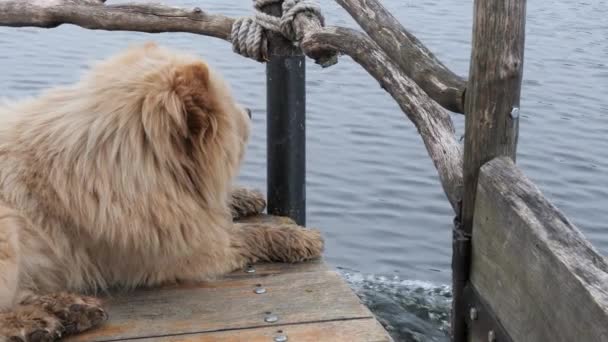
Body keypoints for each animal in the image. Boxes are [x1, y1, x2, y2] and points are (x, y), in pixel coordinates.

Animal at [0, 42, 324, 342]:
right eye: (231, 107)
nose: (250, 111)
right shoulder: (180, 251)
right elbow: (243, 234)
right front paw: (299, 238)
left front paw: (244, 197)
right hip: (7, 232)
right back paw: (35, 321)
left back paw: (70, 309)